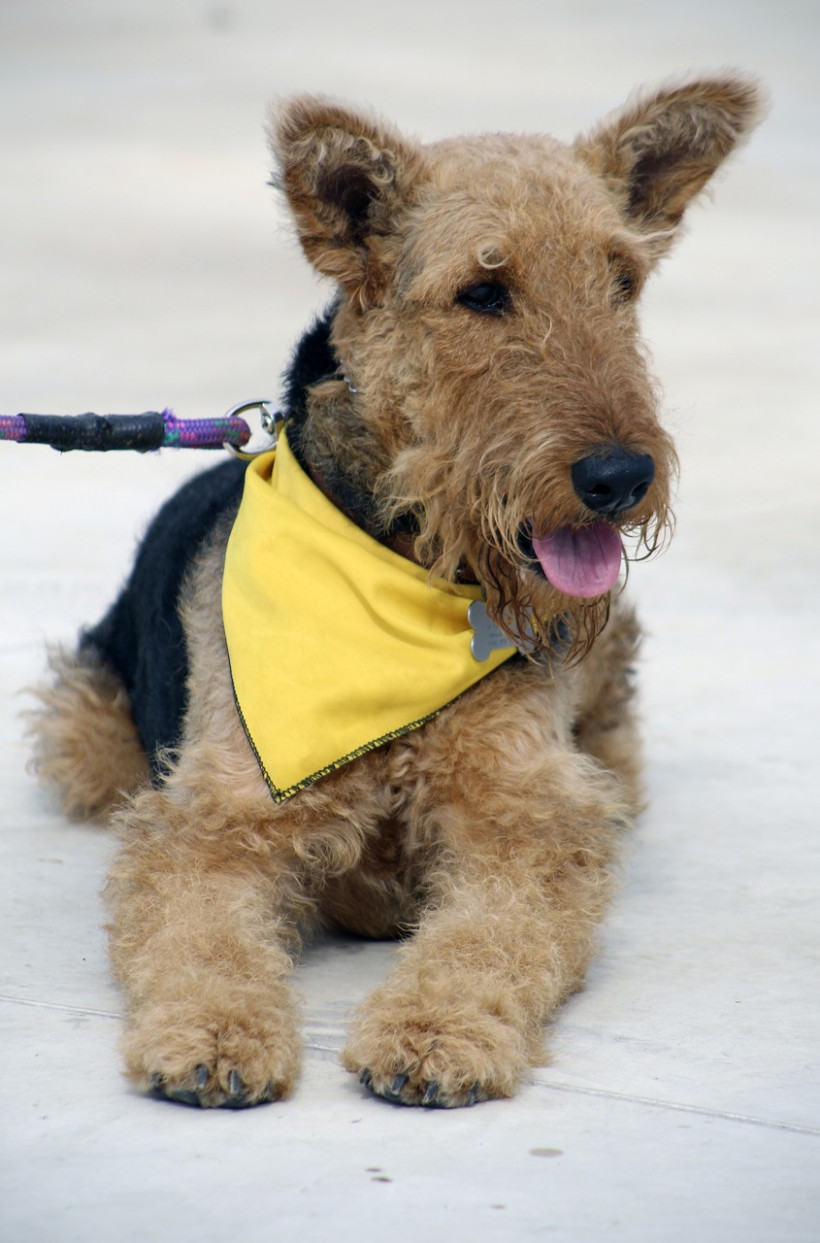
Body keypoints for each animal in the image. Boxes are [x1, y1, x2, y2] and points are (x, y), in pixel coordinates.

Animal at [28, 77, 765, 1108]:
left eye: (623, 280)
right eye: (482, 291)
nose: (620, 477)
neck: (408, 578)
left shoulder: (521, 817)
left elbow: (489, 936)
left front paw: (433, 1033)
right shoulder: (218, 816)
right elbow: (200, 934)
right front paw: (213, 1035)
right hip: (90, 733)